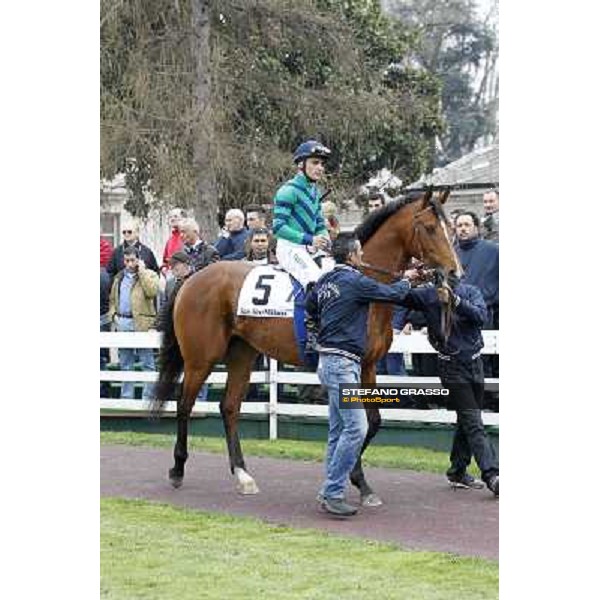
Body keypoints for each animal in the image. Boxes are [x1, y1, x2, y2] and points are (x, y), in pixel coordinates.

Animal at [152, 186, 462, 502]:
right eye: (430, 228)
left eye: (451, 229)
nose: (453, 273)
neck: (367, 286)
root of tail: (193, 277)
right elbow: (359, 422)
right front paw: (354, 478)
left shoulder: (368, 366)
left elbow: (372, 421)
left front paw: (355, 480)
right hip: (201, 357)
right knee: (184, 404)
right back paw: (177, 469)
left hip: (242, 354)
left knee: (228, 407)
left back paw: (243, 475)